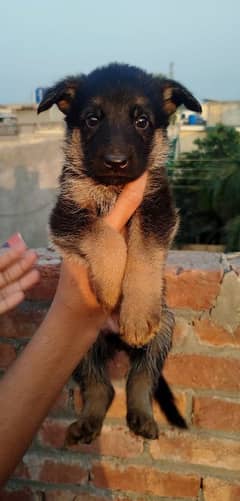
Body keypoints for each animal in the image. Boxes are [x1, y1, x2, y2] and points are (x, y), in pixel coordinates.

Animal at [39, 63, 201, 442]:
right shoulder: (65, 216)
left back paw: (142, 417)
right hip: (81, 347)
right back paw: (89, 421)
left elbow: (143, 252)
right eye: (92, 119)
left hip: (163, 330)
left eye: (142, 121)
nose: (115, 162)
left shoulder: (157, 209)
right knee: (101, 387)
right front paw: (111, 286)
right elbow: (107, 237)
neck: (111, 187)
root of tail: (115, 341)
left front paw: (136, 312)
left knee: (139, 379)